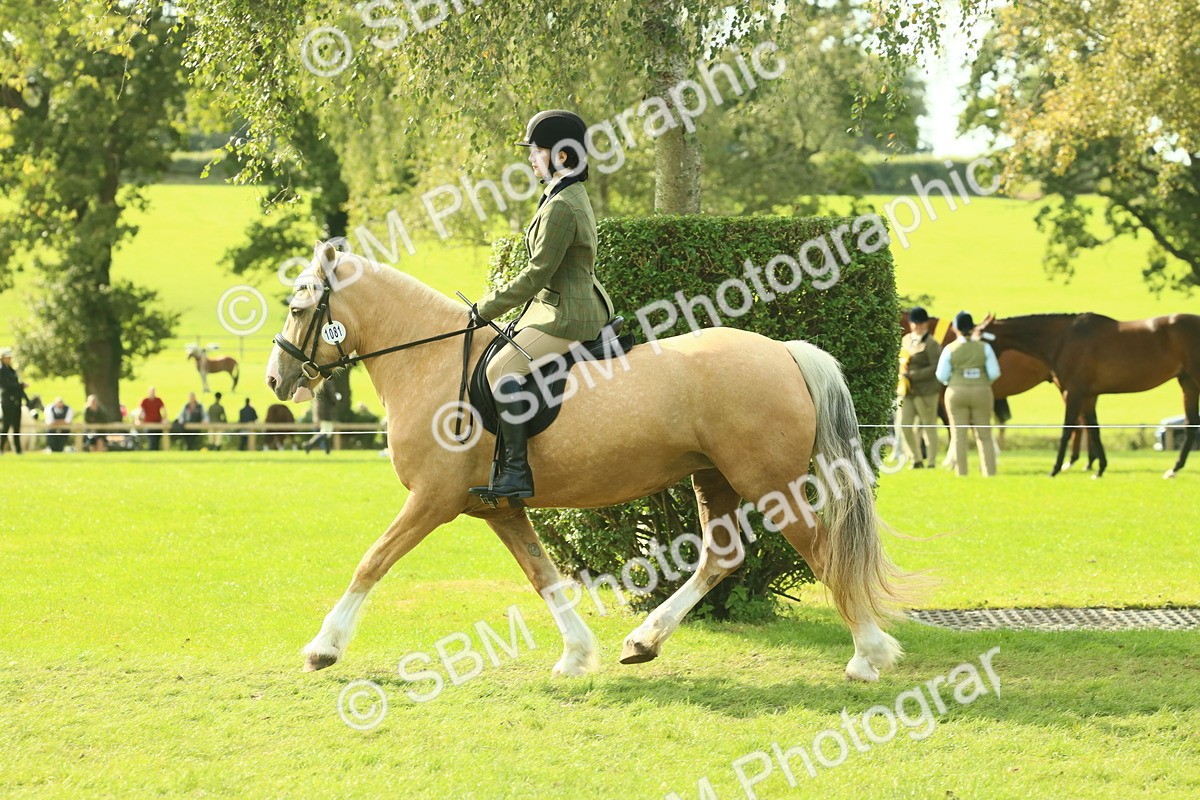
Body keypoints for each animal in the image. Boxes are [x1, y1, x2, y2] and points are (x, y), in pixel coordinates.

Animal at [266, 244, 908, 682]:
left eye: (298, 306)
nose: (277, 379)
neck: (436, 361)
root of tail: (784, 352)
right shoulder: (497, 508)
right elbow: (543, 575)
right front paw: (576, 654)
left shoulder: (433, 499)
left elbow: (372, 561)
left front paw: (323, 647)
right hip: (714, 476)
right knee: (721, 557)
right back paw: (643, 641)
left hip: (768, 482)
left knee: (822, 552)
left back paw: (868, 656)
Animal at [978, 312, 1200, 478]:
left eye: (977, 337)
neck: (1063, 339)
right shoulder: (1088, 396)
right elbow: (1094, 430)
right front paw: (1100, 468)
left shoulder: (1073, 393)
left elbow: (1068, 430)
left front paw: (1055, 469)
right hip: (1187, 383)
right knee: (1190, 425)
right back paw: (1173, 469)